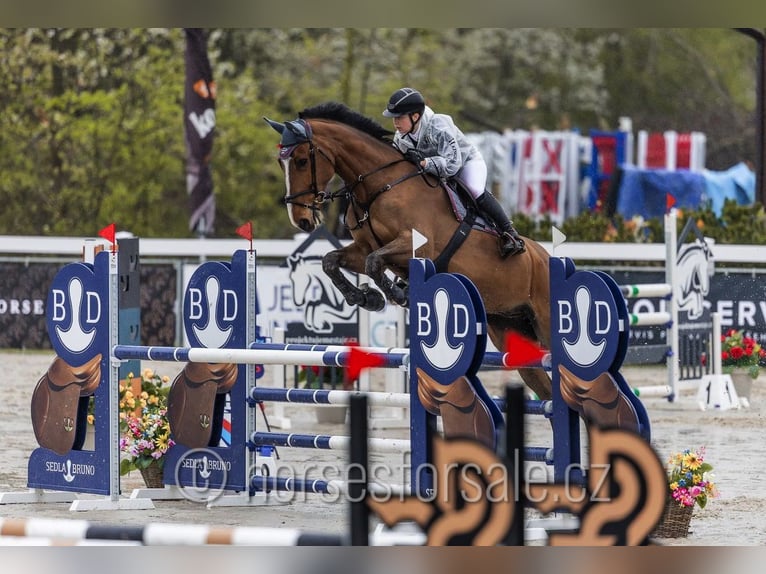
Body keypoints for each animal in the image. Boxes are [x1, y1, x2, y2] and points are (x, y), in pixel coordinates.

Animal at [264, 102, 553, 400]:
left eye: (300, 160)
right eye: (281, 162)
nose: (301, 220)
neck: (378, 186)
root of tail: (546, 257)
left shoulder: (417, 245)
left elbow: (373, 263)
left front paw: (397, 294)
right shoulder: (363, 247)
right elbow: (332, 261)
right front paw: (366, 297)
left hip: (544, 323)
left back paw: (511, 241)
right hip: (507, 327)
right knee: (545, 388)